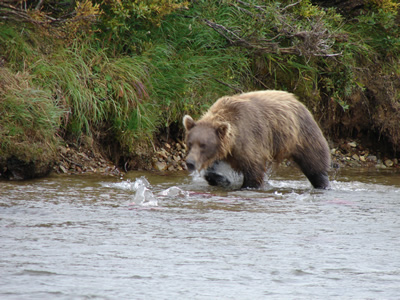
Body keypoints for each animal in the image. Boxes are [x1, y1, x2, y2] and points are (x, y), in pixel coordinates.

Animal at [183, 90, 330, 189]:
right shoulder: (225, 149)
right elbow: (214, 169)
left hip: (302, 135)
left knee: (314, 162)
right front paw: (219, 179)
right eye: (190, 143)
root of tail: (298, 100)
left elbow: (254, 170)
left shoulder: (249, 140)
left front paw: (248, 186)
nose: (190, 162)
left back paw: (322, 183)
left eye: (203, 145)